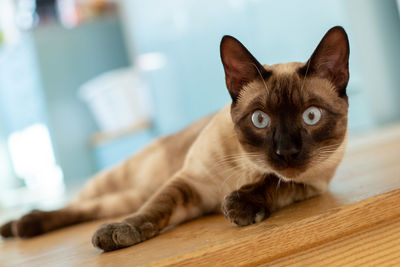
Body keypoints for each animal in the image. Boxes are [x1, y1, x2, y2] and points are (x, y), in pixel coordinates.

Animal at [0, 25, 350, 253]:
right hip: (121, 186)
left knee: (91, 208)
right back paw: (19, 226)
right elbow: (154, 209)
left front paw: (239, 206)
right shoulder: (187, 184)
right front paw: (122, 234)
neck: (245, 169)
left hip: (126, 195)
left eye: (311, 116)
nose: (286, 151)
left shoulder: (308, 182)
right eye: (260, 120)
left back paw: (21, 227)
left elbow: (273, 182)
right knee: (81, 204)